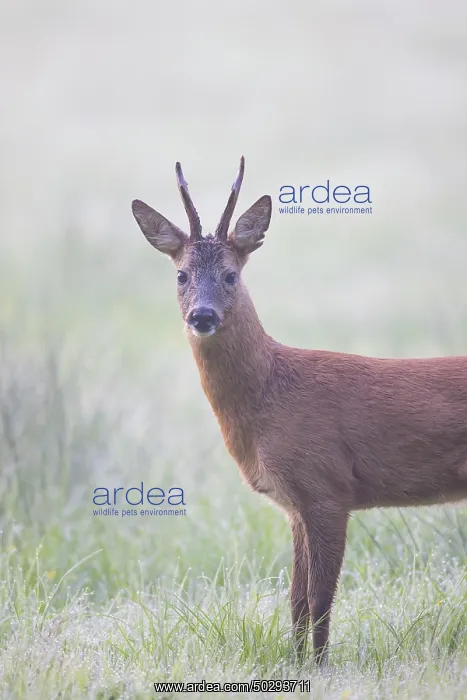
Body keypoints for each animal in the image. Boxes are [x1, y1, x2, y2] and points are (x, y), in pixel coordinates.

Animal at [131, 157, 467, 665]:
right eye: (181, 275)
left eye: (231, 275)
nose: (202, 316)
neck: (270, 398)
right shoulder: (294, 504)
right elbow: (296, 599)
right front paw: (295, 662)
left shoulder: (327, 486)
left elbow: (320, 596)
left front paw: (320, 667)